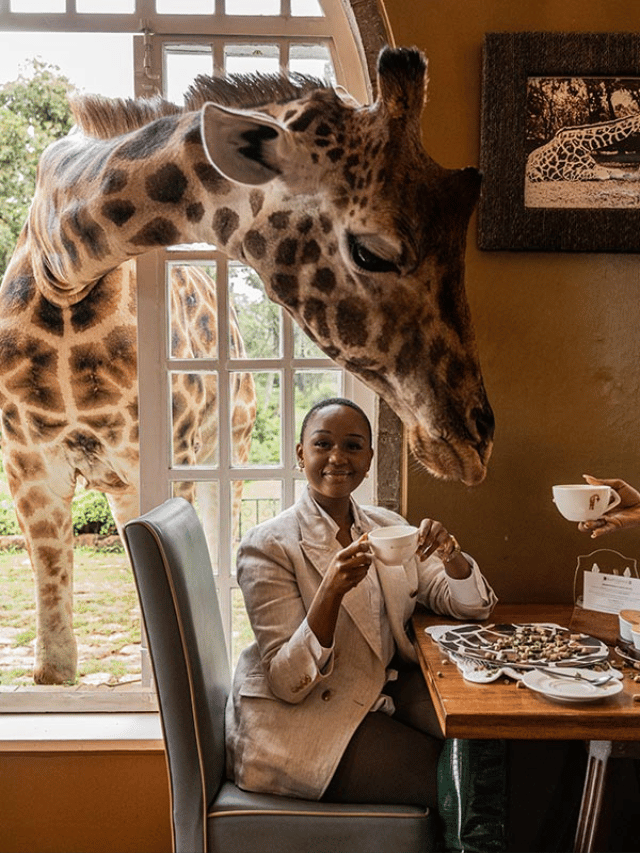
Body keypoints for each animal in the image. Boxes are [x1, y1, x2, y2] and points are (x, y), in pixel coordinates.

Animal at [0, 46, 493, 685]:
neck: (63, 268)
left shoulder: (164, 460)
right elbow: (55, 669)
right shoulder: (29, 471)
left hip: (219, 452)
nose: (474, 443)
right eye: (372, 251)